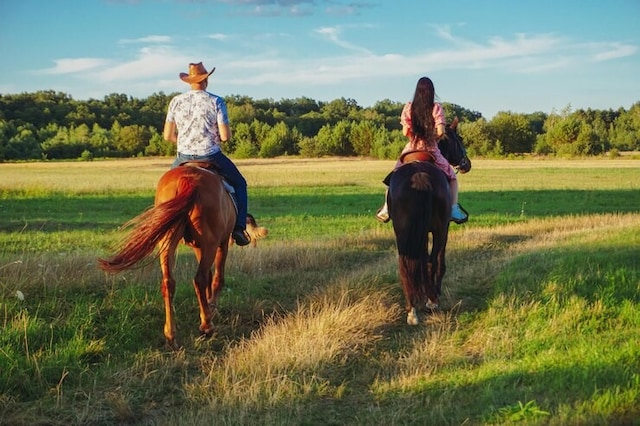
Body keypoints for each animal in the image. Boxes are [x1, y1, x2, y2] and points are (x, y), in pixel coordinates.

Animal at [99, 165, 241, 348]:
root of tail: (188, 179)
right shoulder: (221, 243)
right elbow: (217, 277)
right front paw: (212, 307)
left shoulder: (198, 246)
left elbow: (210, 276)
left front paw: (208, 305)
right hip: (210, 242)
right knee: (200, 279)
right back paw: (207, 326)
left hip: (168, 241)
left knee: (169, 283)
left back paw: (171, 333)